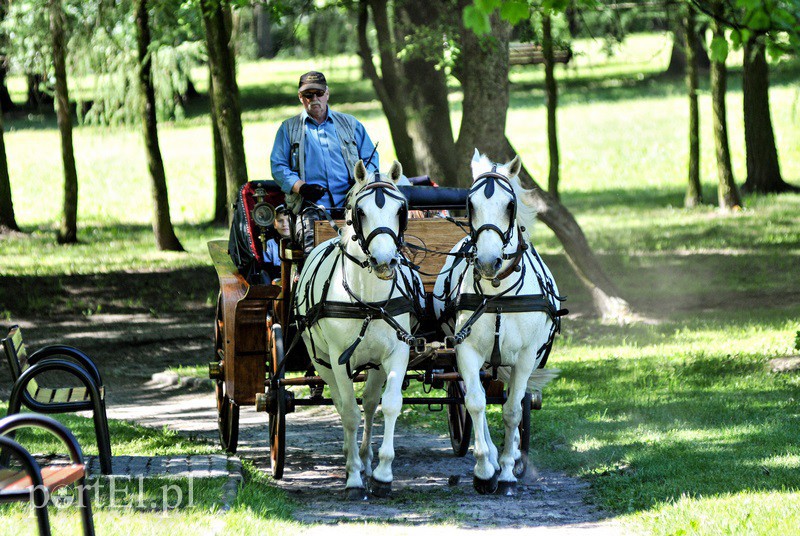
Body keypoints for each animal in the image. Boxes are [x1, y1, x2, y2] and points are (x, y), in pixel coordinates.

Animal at [290, 161, 422, 500]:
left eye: (401, 209)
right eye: (360, 211)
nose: (384, 261)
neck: (369, 301)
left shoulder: (398, 352)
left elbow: (389, 404)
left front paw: (383, 473)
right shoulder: (339, 359)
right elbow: (349, 412)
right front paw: (352, 478)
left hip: (375, 364)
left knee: (371, 403)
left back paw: (366, 459)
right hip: (322, 362)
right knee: (342, 404)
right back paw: (353, 460)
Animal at [434, 150, 564, 494]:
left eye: (510, 205)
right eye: (470, 203)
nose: (487, 262)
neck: (497, 294)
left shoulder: (526, 357)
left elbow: (513, 409)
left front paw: (506, 470)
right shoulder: (465, 351)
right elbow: (476, 403)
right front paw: (484, 469)